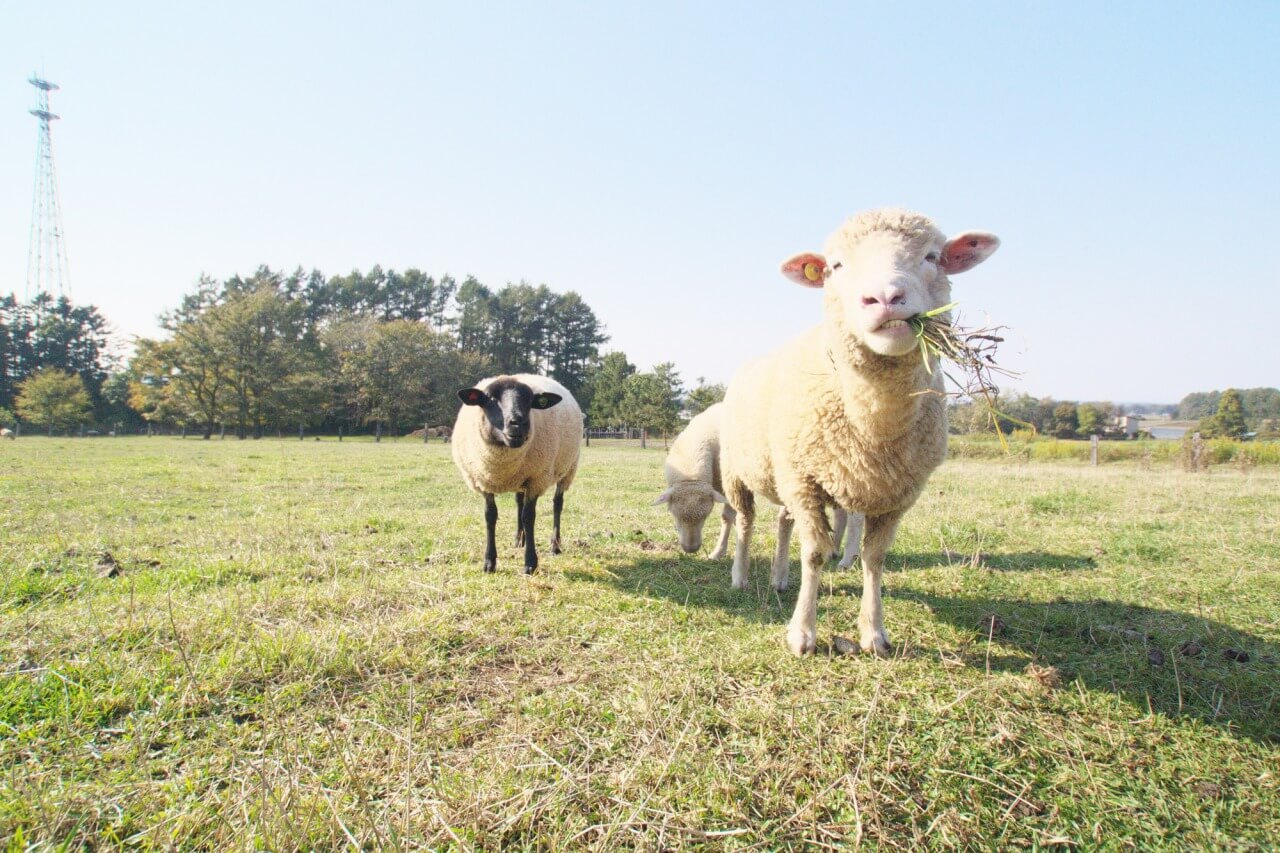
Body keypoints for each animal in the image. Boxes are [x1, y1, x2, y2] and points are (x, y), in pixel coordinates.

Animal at [450, 371, 586, 571]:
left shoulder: (536, 479)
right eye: (490, 398)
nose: (517, 423)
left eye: (530, 401)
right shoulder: (483, 481)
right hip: (521, 479)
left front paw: (530, 563)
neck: (501, 467)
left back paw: (555, 545)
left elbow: (528, 517)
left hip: (568, 469)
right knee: (519, 502)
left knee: (557, 503)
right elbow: (490, 516)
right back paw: (519, 540)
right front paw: (489, 562)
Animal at [655, 402, 737, 555]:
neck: (691, 477)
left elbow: (727, 517)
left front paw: (719, 552)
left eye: (706, 516)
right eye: (674, 515)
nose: (691, 549)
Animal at [721, 207, 998, 655]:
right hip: (741, 472)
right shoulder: (805, 482)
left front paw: (874, 633)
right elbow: (815, 554)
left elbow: (875, 558)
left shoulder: (898, 494)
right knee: (745, 521)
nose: (885, 298)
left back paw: (780, 577)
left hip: (786, 474)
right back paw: (741, 575)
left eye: (932, 256)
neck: (874, 423)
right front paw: (802, 634)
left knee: (782, 521)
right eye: (836, 266)